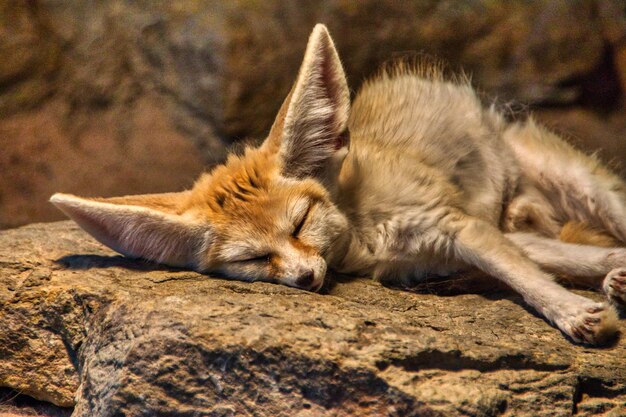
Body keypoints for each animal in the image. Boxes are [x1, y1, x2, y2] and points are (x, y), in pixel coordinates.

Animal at [51, 25, 624, 344]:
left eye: (300, 223)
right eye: (252, 259)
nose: (306, 278)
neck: (363, 237)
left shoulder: (456, 226)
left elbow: (525, 279)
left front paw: (575, 316)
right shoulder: (441, 252)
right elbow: (552, 263)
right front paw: (592, 291)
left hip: (587, 190)